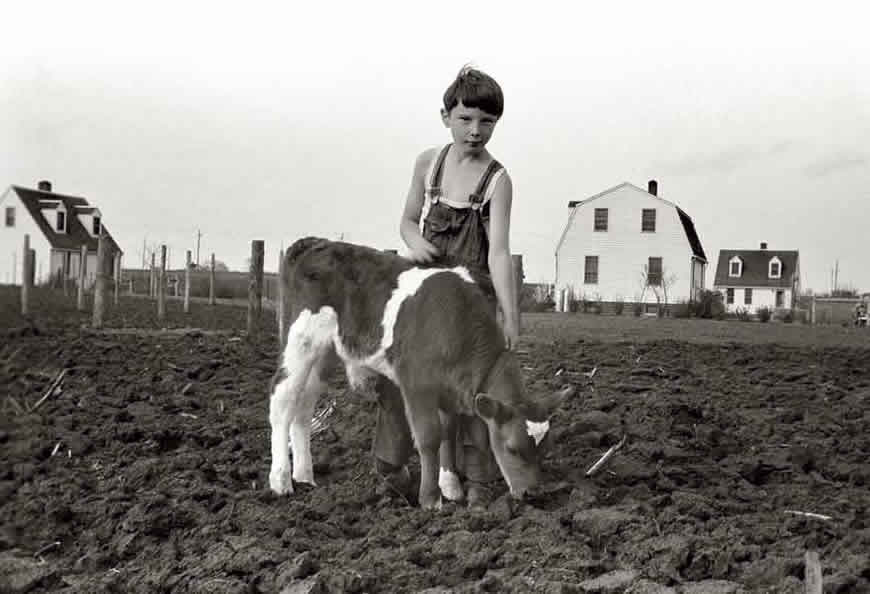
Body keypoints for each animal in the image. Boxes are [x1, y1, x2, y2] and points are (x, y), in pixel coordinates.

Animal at [270, 238, 572, 506]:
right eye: (511, 448)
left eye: (546, 449)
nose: (533, 494)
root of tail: (314, 242)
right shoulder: (416, 384)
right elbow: (429, 437)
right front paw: (430, 498)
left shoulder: (452, 389)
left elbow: (449, 432)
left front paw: (450, 485)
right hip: (300, 340)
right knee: (282, 400)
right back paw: (281, 480)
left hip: (325, 353)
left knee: (303, 407)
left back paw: (304, 475)